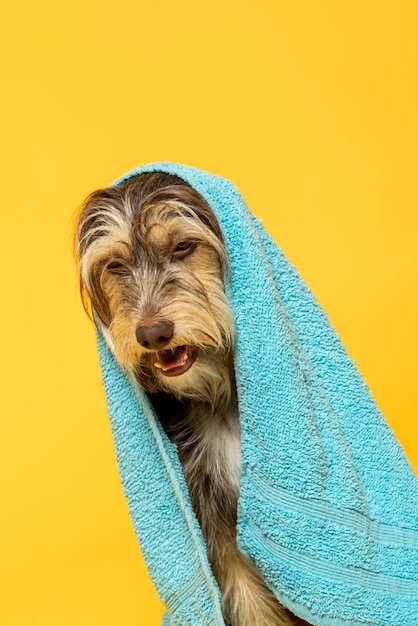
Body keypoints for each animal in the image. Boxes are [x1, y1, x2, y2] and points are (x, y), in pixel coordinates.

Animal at [74, 172, 306, 624]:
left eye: (182, 246)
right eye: (115, 265)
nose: (152, 333)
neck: (219, 398)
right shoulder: (211, 519)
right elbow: (249, 601)